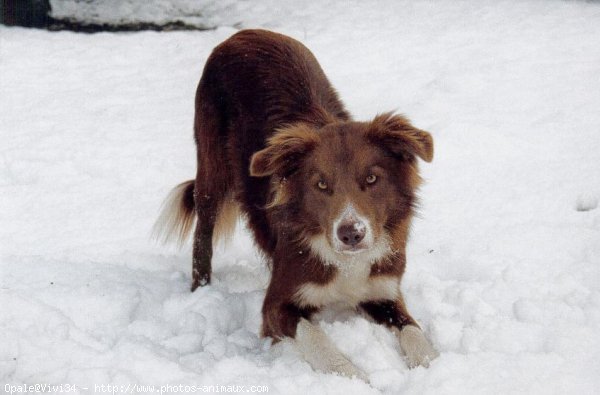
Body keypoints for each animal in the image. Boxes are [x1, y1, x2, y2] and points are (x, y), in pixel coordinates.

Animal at [154, 28, 436, 378]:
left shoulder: (383, 293)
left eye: (372, 179)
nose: (351, 234)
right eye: (321, 184)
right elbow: (317, 340)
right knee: (202, 233)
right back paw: (201, 290)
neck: (346, 261)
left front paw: (431, 364)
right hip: (211, 168)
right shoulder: (277, 304)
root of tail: (242, 33)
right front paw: (353, 377)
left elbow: (414, 332)